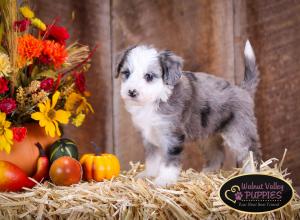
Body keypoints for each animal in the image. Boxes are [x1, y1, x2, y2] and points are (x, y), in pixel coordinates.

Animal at [116, 40, 262, 186]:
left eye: (148, 76)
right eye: (126, 73)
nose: (131, 92)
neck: (156, 97)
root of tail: (242, 89)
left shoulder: (173, 135)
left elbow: (169, 160)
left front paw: (164, 180)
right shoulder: (149, 135)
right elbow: (152, 158)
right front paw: (149, 175)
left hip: (238, 132)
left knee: (250, 152)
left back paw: (251, 171)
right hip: (208, 136)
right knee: (217, 154)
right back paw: (207, 173)